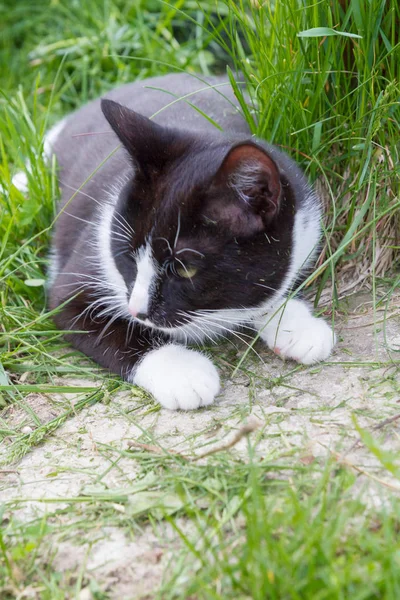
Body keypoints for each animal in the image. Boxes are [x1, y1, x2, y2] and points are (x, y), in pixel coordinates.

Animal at [18, 72, 334, 410]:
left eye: (184, 269)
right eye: (127, 255)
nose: (137, 311)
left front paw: (296, 325)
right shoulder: (78, 276)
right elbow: (98, 322)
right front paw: (182, 372)